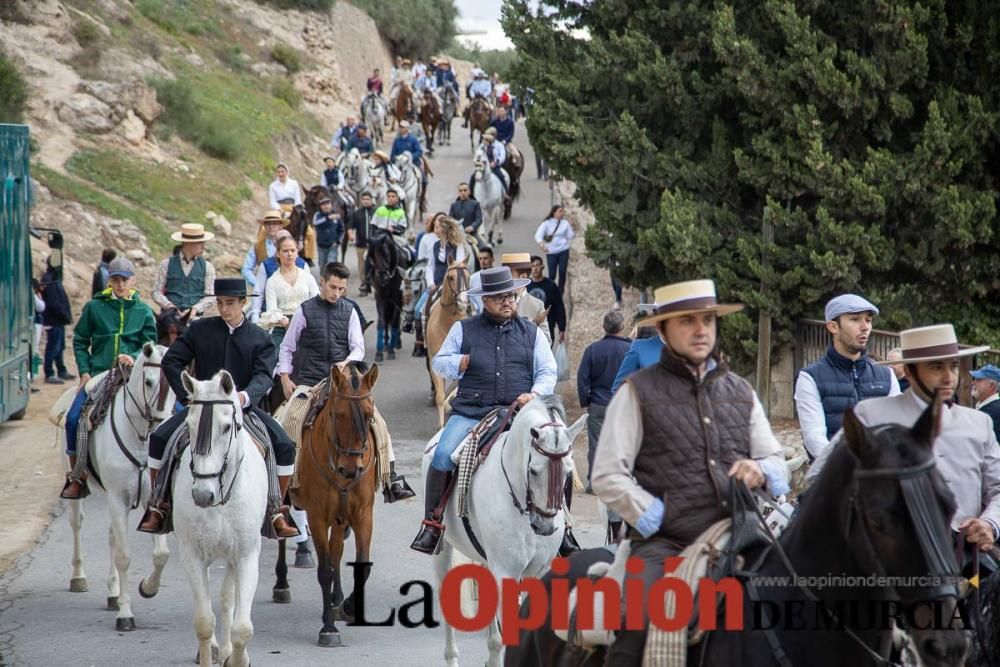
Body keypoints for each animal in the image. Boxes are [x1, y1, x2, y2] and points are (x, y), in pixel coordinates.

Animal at [66, 344, 174, 632]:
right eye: (148, 382)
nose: (162, 426)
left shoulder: (151, 501)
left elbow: (161, 554)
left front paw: (148, 587)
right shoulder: (117, 498)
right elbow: (124, 557)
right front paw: (125, 614)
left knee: (112, 535)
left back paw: (113, 594)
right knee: (77, 523)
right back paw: (78, 577)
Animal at [173, 370, 268, 667]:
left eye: (227, 427)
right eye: (189, 425)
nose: (203, 495)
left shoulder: (246, 556)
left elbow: (242, 628)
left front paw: (237, 657)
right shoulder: (191, 555)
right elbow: (204, 621)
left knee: (228, 599)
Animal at [292, 362, 382, 648]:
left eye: (368, 415)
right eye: (336, 414)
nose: (351, 469)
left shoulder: (363, 515)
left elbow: (361, 565)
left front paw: (348, 606)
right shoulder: (317, 517)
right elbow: (324, 571)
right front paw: (328, 629)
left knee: (337, 552)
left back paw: (336, 599)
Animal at [422, 260, 468, 428]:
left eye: (468, 275)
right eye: (451, 277)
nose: (463, 301)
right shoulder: (435, 360)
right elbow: (440, 396)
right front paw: (441, 425)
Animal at [426, 396, 588, 667]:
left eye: (568, 471)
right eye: (533, 470)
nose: (544, 527)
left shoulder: (536, 572)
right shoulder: (506, 571)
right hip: (443, 550)